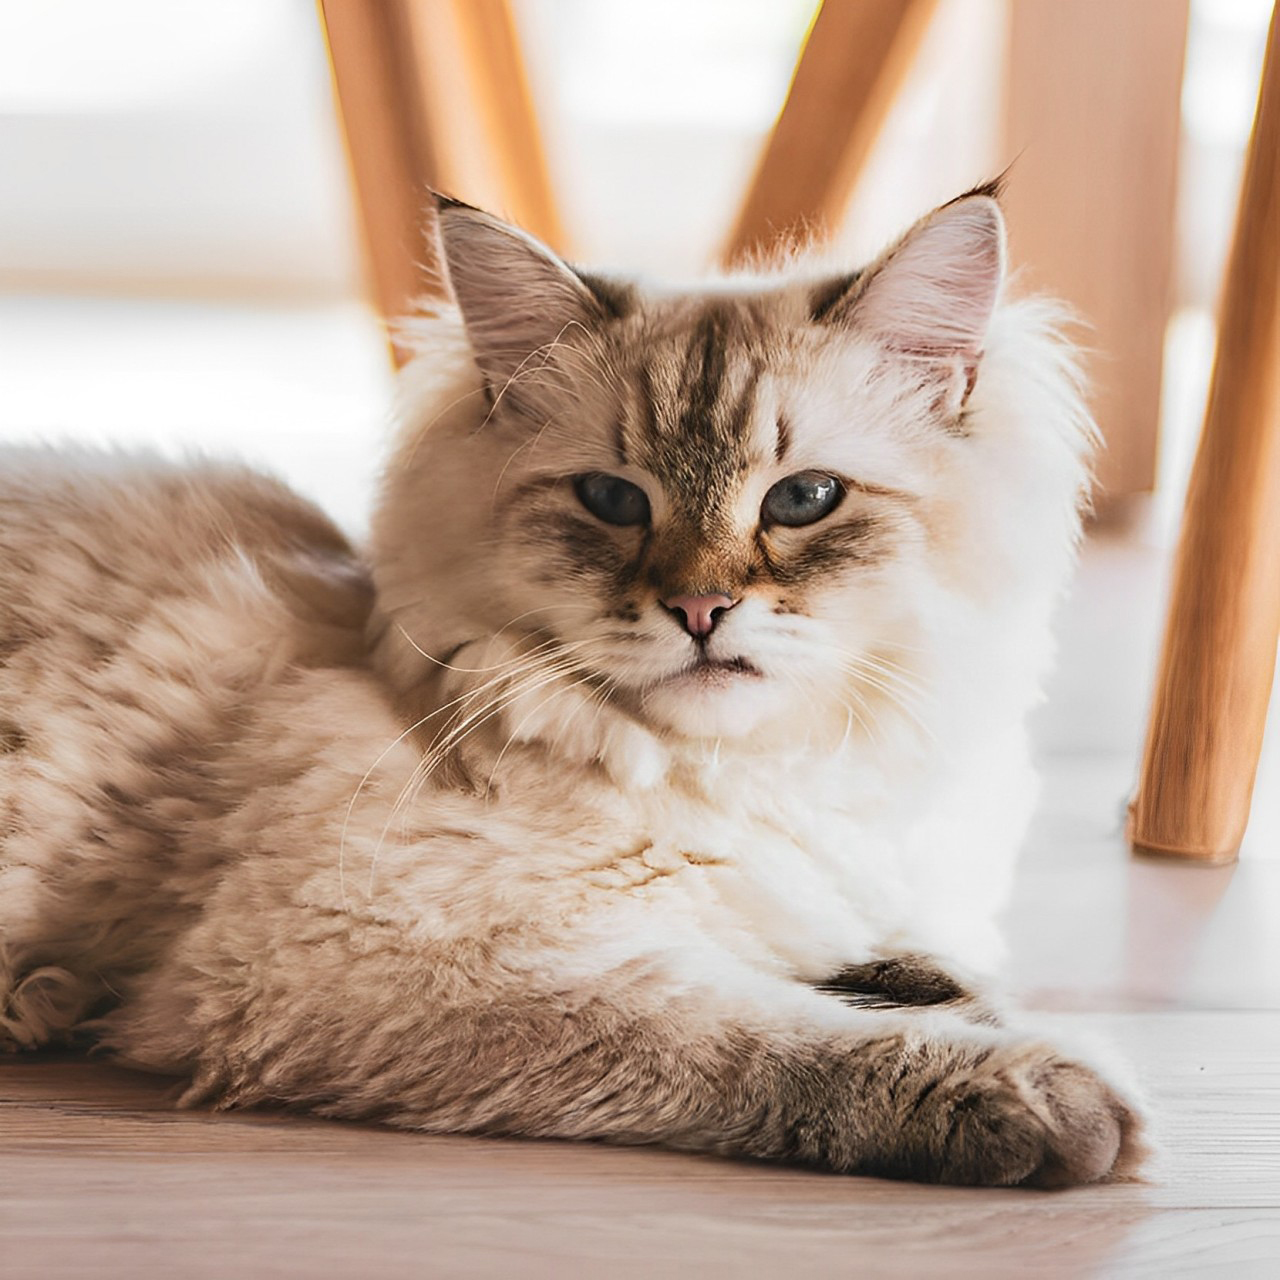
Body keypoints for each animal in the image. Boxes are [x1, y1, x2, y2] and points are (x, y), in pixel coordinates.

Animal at [0, 189, 1141, 1187]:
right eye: (611, 500)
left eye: (803, 499)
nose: (699, 608)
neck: (744, 778)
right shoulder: (372, 955)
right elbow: (759, 1029)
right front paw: (1042, 1098)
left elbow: (891, 963)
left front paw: (945, 997)